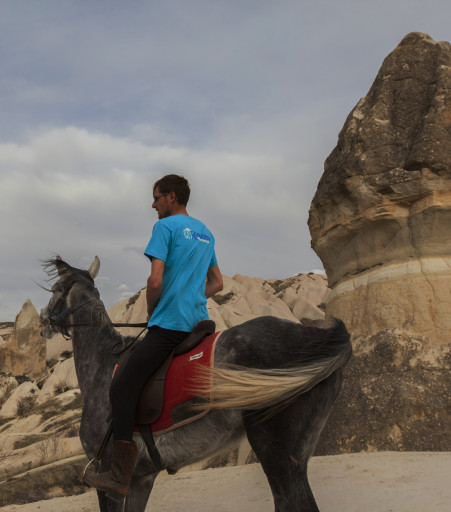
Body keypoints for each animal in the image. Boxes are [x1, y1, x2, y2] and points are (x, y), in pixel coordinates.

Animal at [39, 256, 354, 512]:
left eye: (55, 289)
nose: (43, 321)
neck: (104, 362)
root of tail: (322, 337)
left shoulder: (108, 480)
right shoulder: (141, 479)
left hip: (276, 452)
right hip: (296, 455)